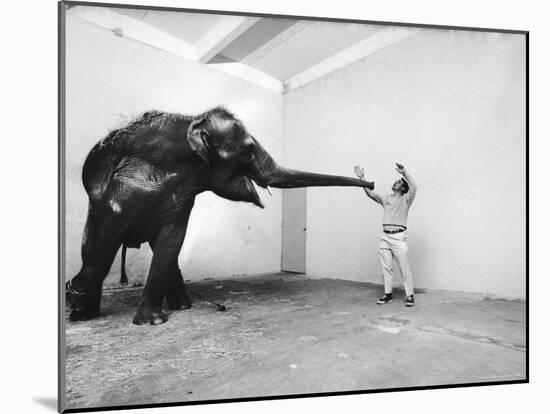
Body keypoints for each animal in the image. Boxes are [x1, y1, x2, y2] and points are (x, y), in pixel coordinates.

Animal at [64, 107, 376, 326]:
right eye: (248, 150)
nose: (371, 183)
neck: (193, 120)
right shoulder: (127, 186)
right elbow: (108, 235)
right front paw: (77, 301)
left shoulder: (182, 197)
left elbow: (172, 239)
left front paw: (154, 320)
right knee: (94, 244)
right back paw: (81, 313)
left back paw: (181, 306)